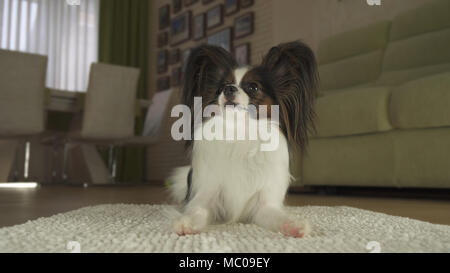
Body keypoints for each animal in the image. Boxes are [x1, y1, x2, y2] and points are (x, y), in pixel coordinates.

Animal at [169, 40, 320, 236]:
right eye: (221, 87)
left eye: (253, 87)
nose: (228, 89)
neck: (240, 132)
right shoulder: (206, 195)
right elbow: (197, 210)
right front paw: (186, 222)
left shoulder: (264, 205)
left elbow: (278, 216)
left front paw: (293, 225)